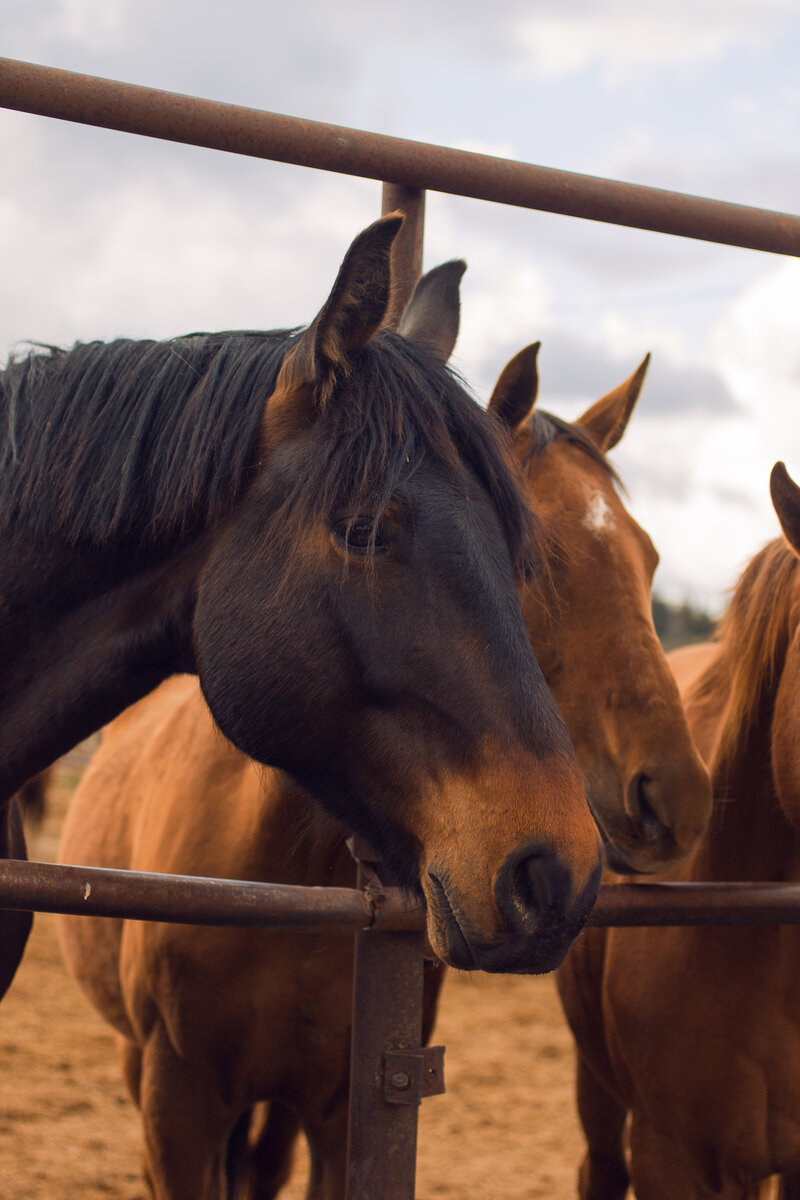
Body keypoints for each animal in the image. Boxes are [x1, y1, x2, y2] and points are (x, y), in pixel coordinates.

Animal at [59, 343, 710, 1195]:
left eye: (650, 559)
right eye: (533, 562)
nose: (677, 801)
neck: (276, 870)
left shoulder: (345, 1109)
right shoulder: (176, 1107)